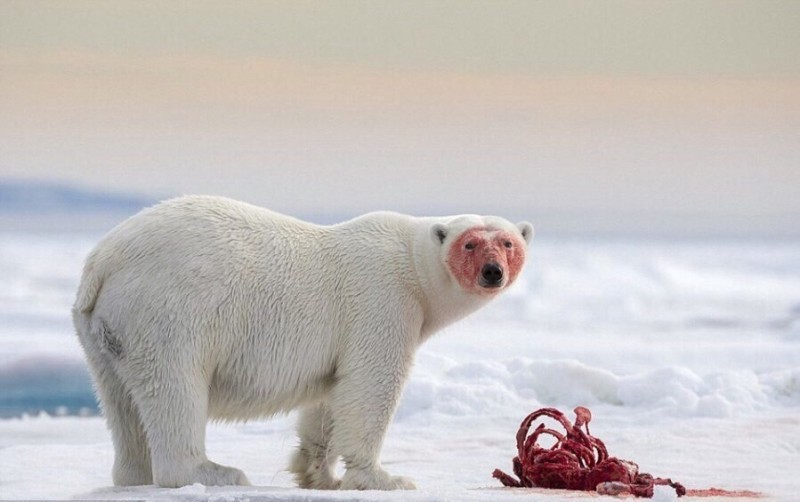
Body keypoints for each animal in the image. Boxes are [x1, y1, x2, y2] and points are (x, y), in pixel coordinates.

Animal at [73, 196, 532, 490]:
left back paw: (134, 474)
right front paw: (386, 478)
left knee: (120, 401)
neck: (411, 265)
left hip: (105, 331)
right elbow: (370, 387)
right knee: (175, 388)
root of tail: (103, 261)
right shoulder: (383, 302)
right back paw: (215, 472)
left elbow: (332, 396)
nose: (493, 272)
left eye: (508, 242)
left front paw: (317, 473)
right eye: (470, 243)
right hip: (170, 311)